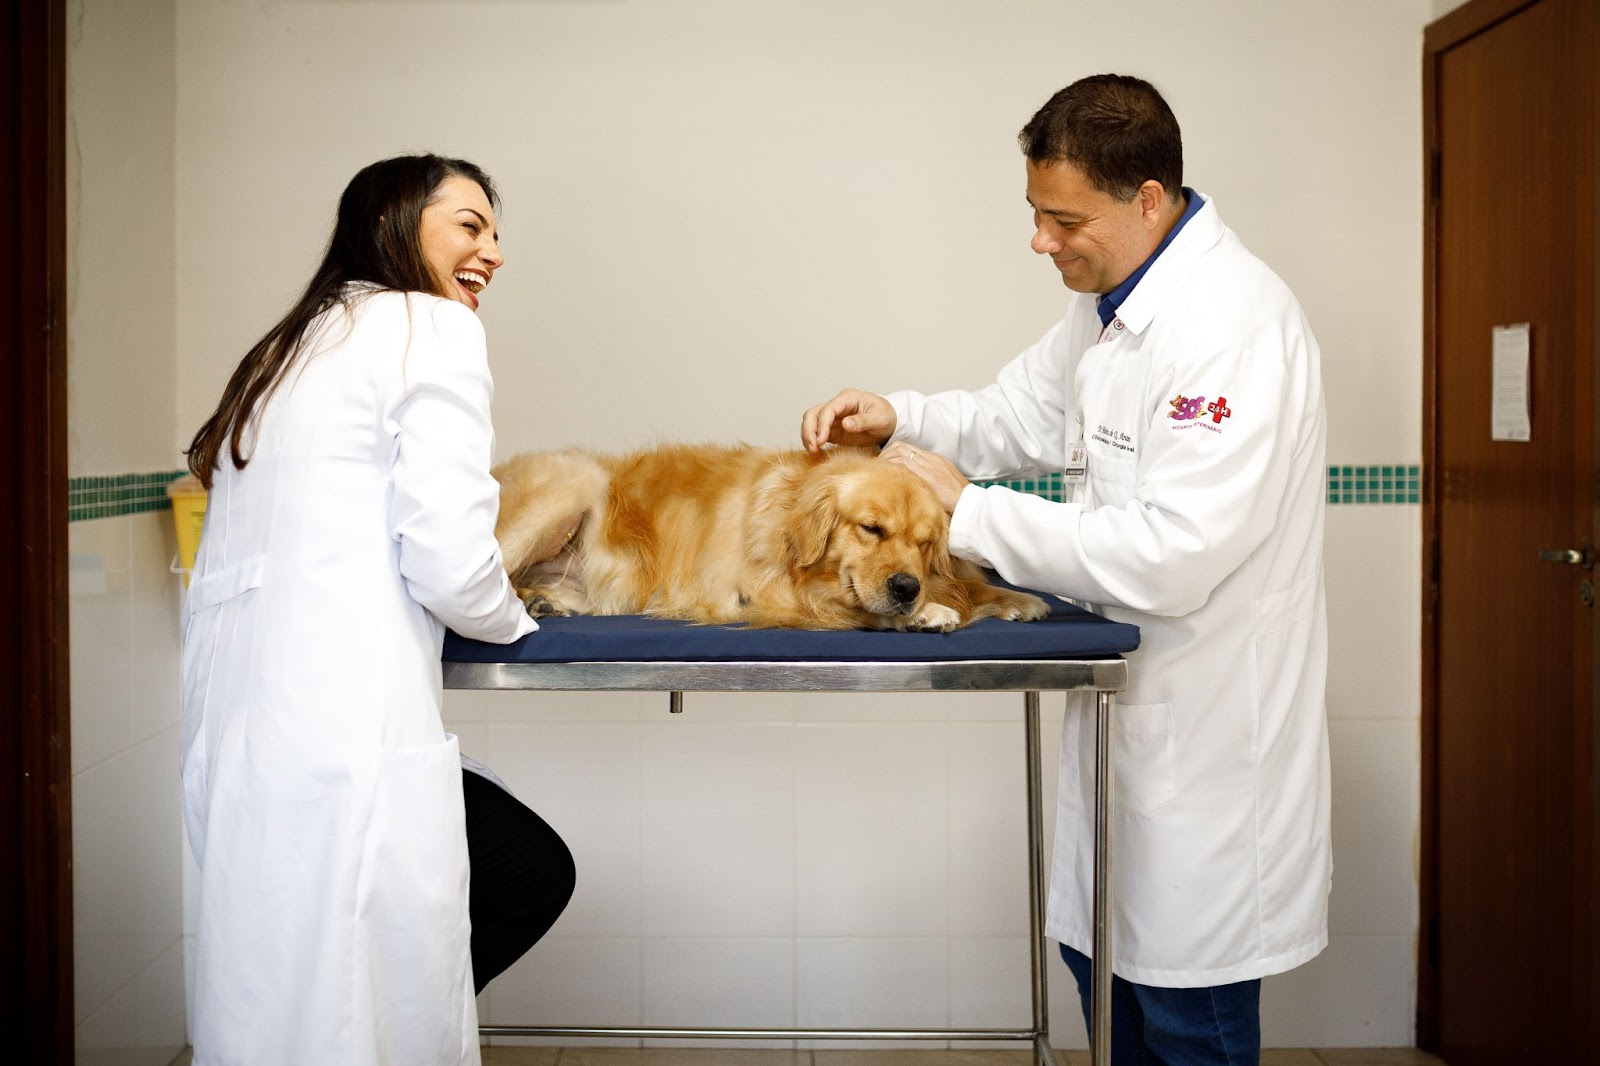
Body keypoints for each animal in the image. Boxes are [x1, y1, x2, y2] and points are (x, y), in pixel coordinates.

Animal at [492, 441, 1056, 630]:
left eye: (923, 543)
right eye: (871, 529)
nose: (906, 588)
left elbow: (967, 583)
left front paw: (1013, 598)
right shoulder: (759, 596)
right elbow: (854, 609)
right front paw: (926, 613)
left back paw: (541, 601)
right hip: (572, 482)